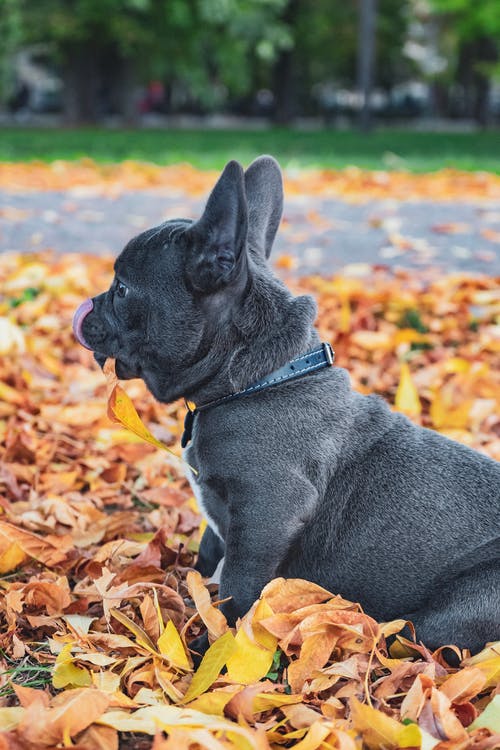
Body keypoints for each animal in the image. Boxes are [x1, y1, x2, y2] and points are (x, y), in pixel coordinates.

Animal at [74, 156, 500, 656]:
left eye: (122, 289)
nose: (89, 305)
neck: (255, 380)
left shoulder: (268, 513)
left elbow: (238, 585)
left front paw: (212, 643)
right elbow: (209, 550)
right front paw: (190, 586)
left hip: (460, 605)